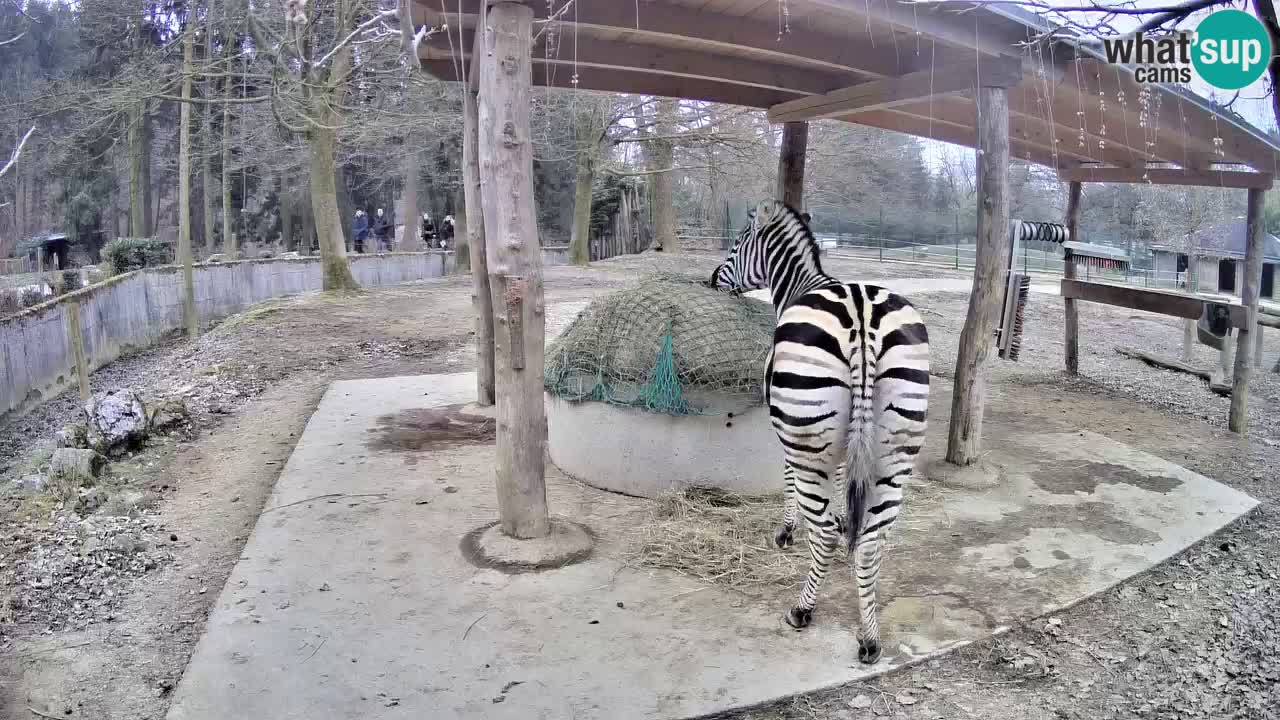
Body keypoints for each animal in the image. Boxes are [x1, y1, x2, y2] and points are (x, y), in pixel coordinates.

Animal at [711, 196, 931, 661]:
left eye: (737, 244)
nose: (710, 279)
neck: (799, 286)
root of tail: (863, 316)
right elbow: (848, 493)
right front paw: (845, 519)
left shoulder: (786, 431)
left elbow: (789, 481)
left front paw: (787, 530)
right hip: (895, 450)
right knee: (871, 541)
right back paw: (869, 638)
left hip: (809, 439)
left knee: (827, 534)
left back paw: (802, 610)